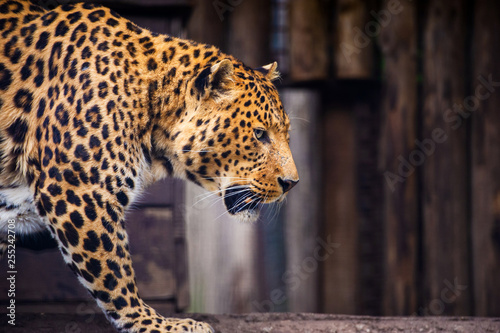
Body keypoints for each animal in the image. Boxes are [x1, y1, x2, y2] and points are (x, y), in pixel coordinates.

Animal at [0, 1, 296, 330]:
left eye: (286, 134)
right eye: (259, 134)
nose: (291, 183)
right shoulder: (78, 192)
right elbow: (113, 272)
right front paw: (153, 323)